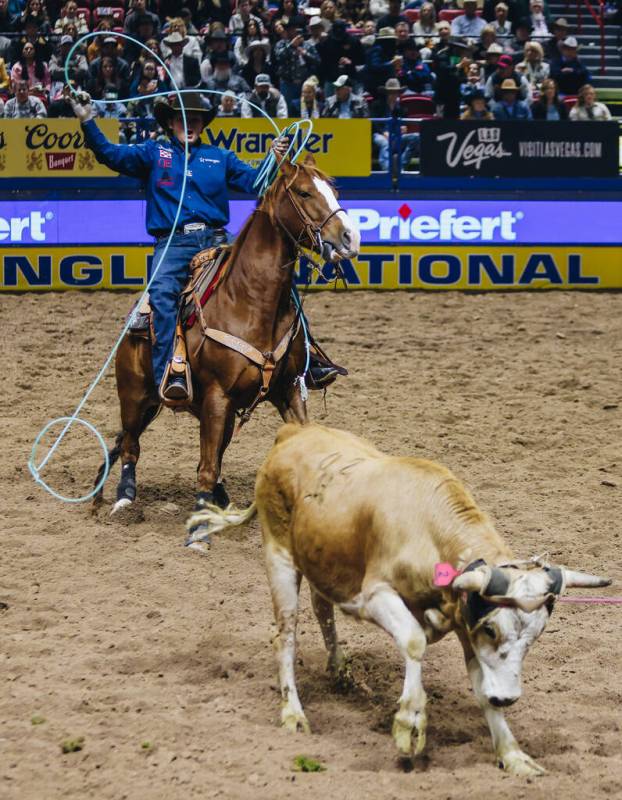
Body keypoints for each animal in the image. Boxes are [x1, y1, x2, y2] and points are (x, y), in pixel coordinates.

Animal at [95, 157, 364, 532]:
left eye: (334, 190)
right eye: (303, 192)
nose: (350, 237)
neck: (250, 301)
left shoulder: (288, 389)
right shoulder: (217, 395)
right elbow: (206, 468)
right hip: (135, 396)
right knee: (132, 445)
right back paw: (124, 498)